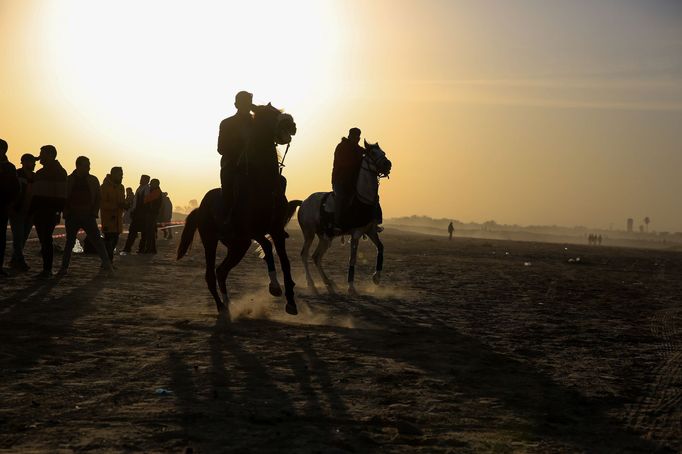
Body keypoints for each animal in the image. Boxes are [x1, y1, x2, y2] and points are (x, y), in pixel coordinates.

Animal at [178, 103, 300, 316]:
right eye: (268, 114)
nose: (291, 125)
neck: (263, 185)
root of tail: (200, 208)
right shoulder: (252, 230)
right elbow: (267, 248)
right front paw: (275, 287)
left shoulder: (276, 231)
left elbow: (285, 262)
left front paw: (291, 302)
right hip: (211, 240)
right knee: (210, 274)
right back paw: (221, 307)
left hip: (238, 245)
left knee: (221, 271)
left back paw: (228, 303)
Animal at [296, 141, 390, 294]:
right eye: (372, 153)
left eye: (383, 152)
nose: (388, 164)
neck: (363, 200)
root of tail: (304, 202)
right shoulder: (356, 233)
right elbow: (352, 259)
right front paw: (351, 286)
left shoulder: (371, 231)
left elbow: (381, 248)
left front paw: (376, 278)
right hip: (309, 233)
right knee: (304, 255)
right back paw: (311, 284)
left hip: (325, 237)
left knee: (316, 257)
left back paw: (329, 282)